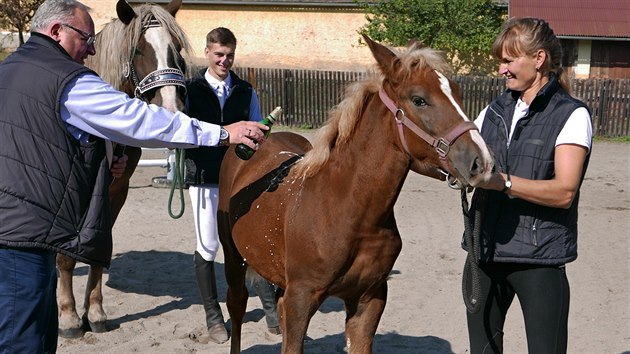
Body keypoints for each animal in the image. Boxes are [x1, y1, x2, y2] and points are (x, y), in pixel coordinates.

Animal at [56, 0, 193, 338]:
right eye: (139, 50)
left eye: (176, 48)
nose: (171, 107)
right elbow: (65, 257)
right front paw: (68, 318)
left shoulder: (115, 191)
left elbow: (99, 250)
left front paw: (94, 314)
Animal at [220, 34, 496, 352]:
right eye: (419, 100)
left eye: (458, 93)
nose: (481, 161)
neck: (350, 211)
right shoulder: (300, 298)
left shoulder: (369, 298)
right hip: (233, 258)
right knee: (237, 307)